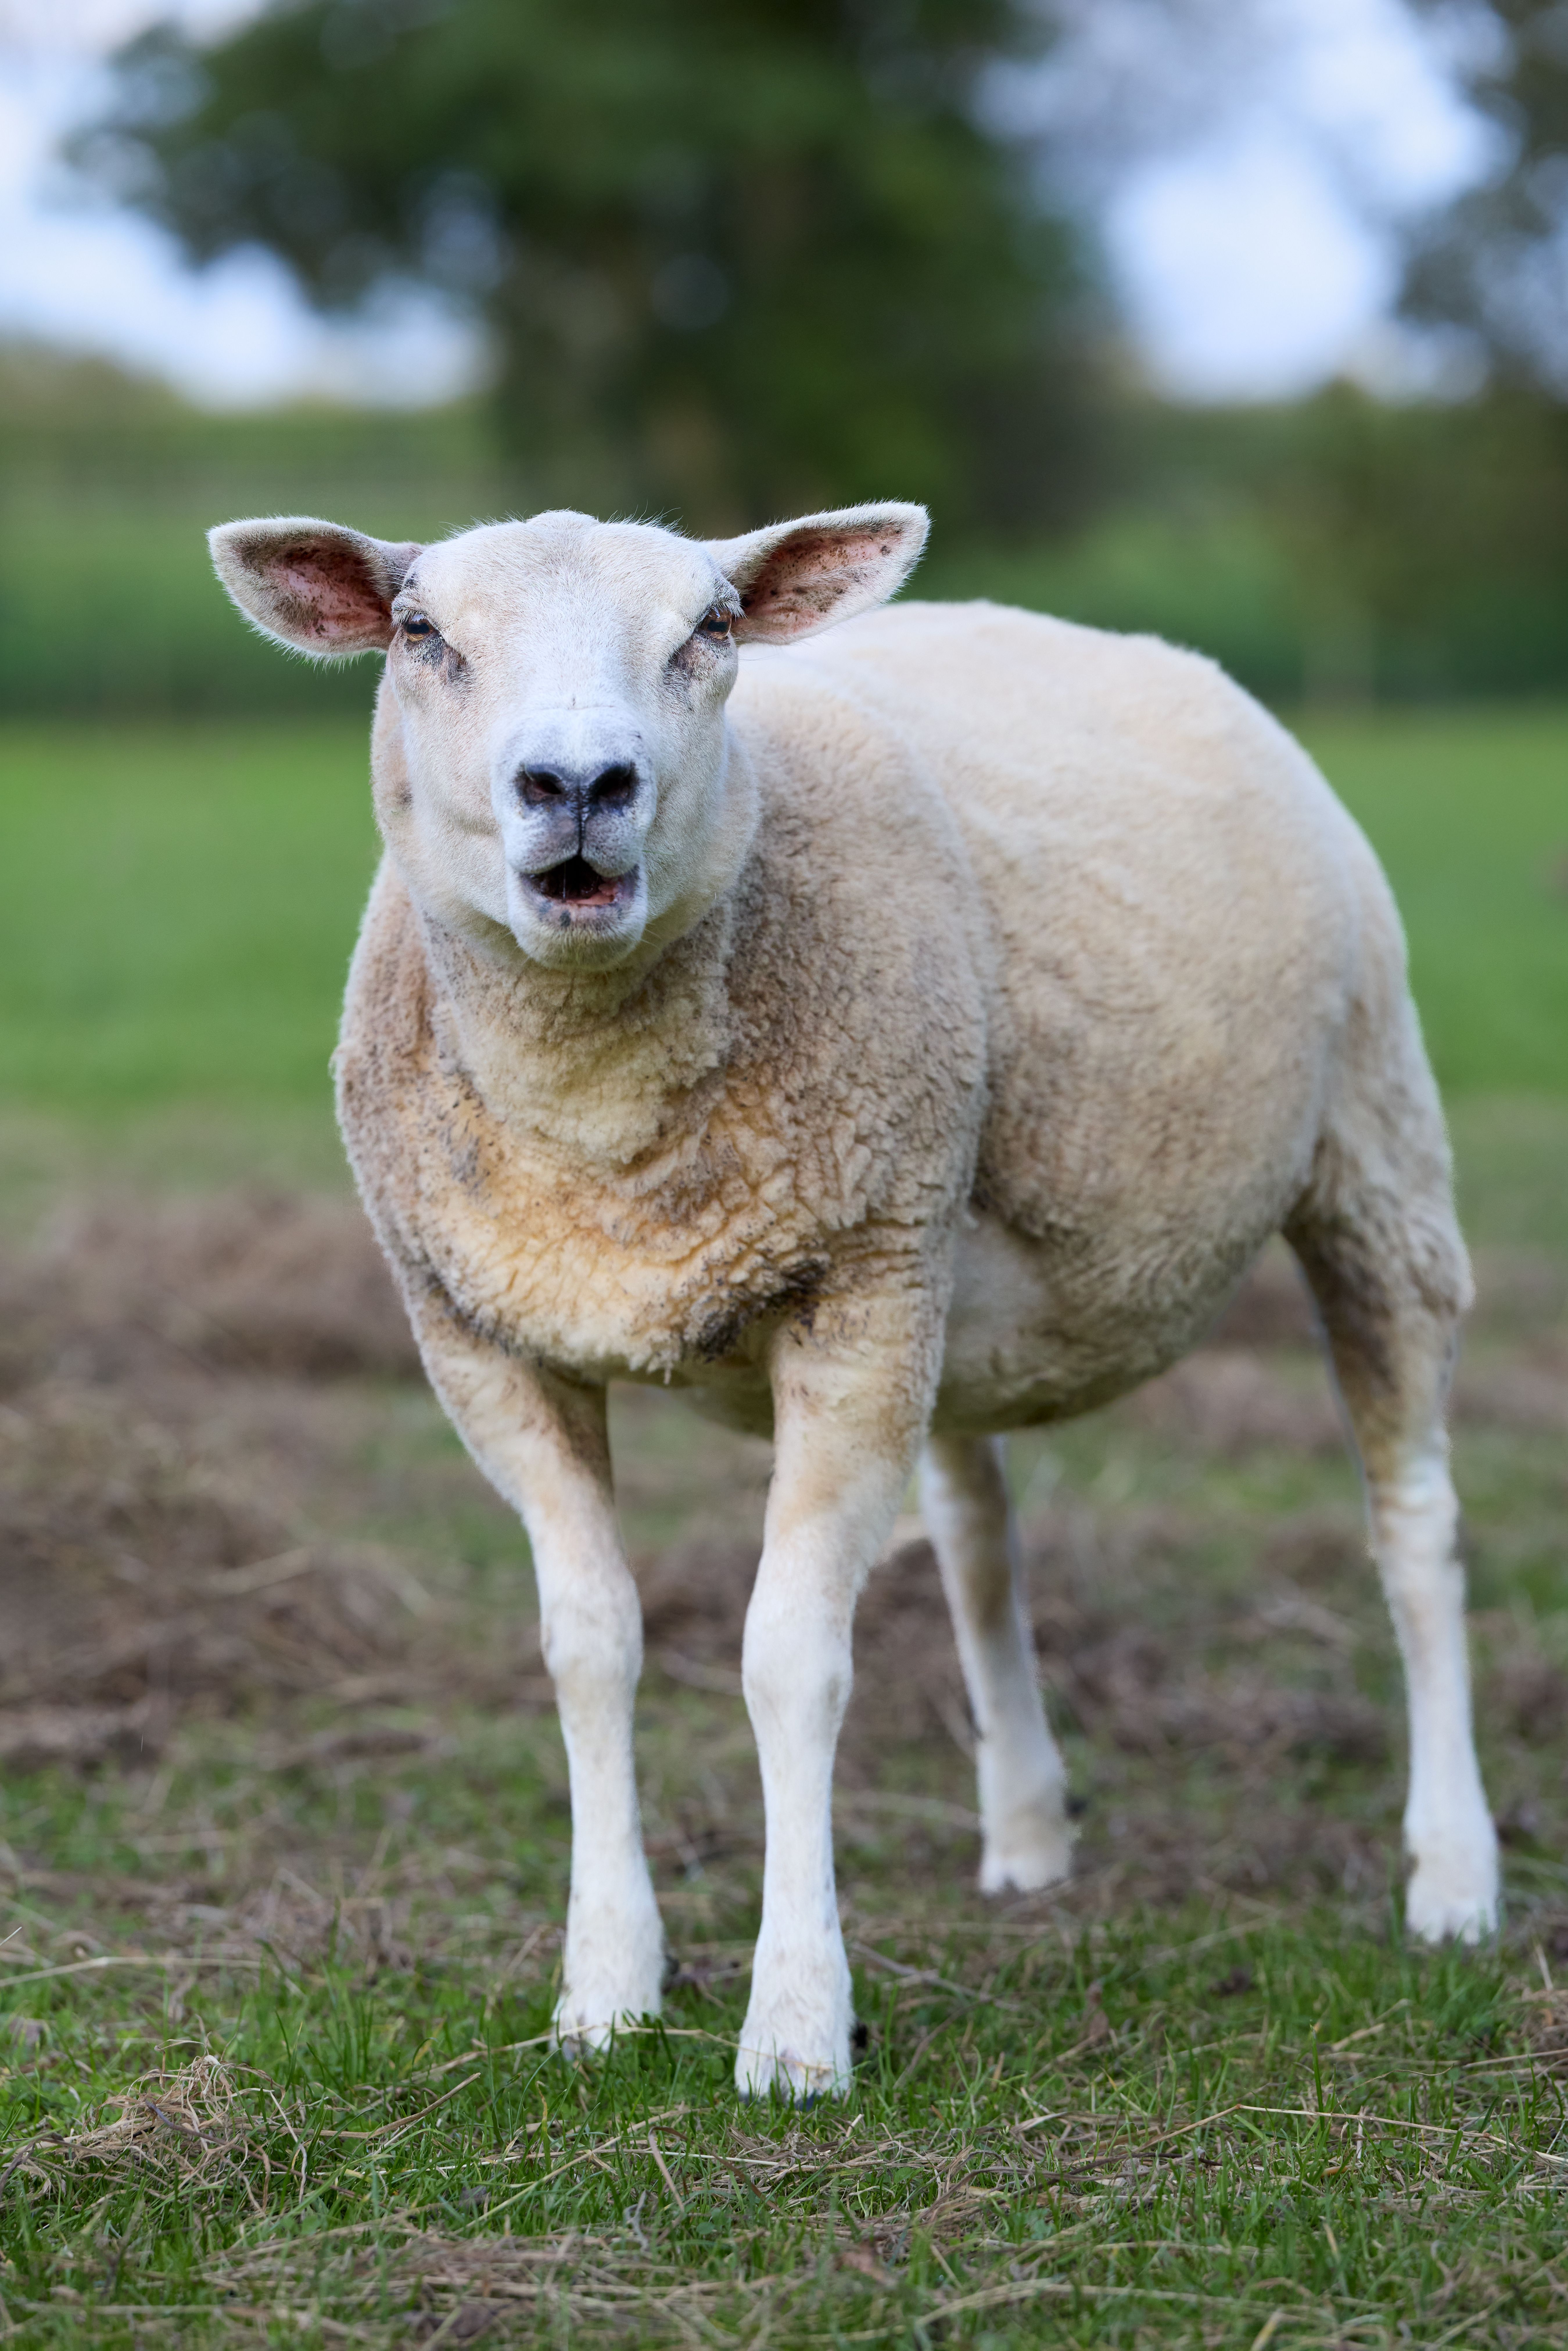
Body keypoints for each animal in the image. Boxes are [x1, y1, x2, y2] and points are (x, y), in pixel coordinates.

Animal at [209, 501, 1500, 2102]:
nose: (577, 784)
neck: (593, 1122)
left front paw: (795, 2029)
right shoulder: (481, 1334)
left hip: (1367, 1148)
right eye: (418, 634)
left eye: (708, 628)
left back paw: (1452, 1877)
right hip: (949, 1272)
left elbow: (789, 1660)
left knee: (1415, 1529)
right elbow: (589, 1647)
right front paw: (603, 1993)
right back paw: (1026, 1831)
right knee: (978, 1538)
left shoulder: (855, 1290)